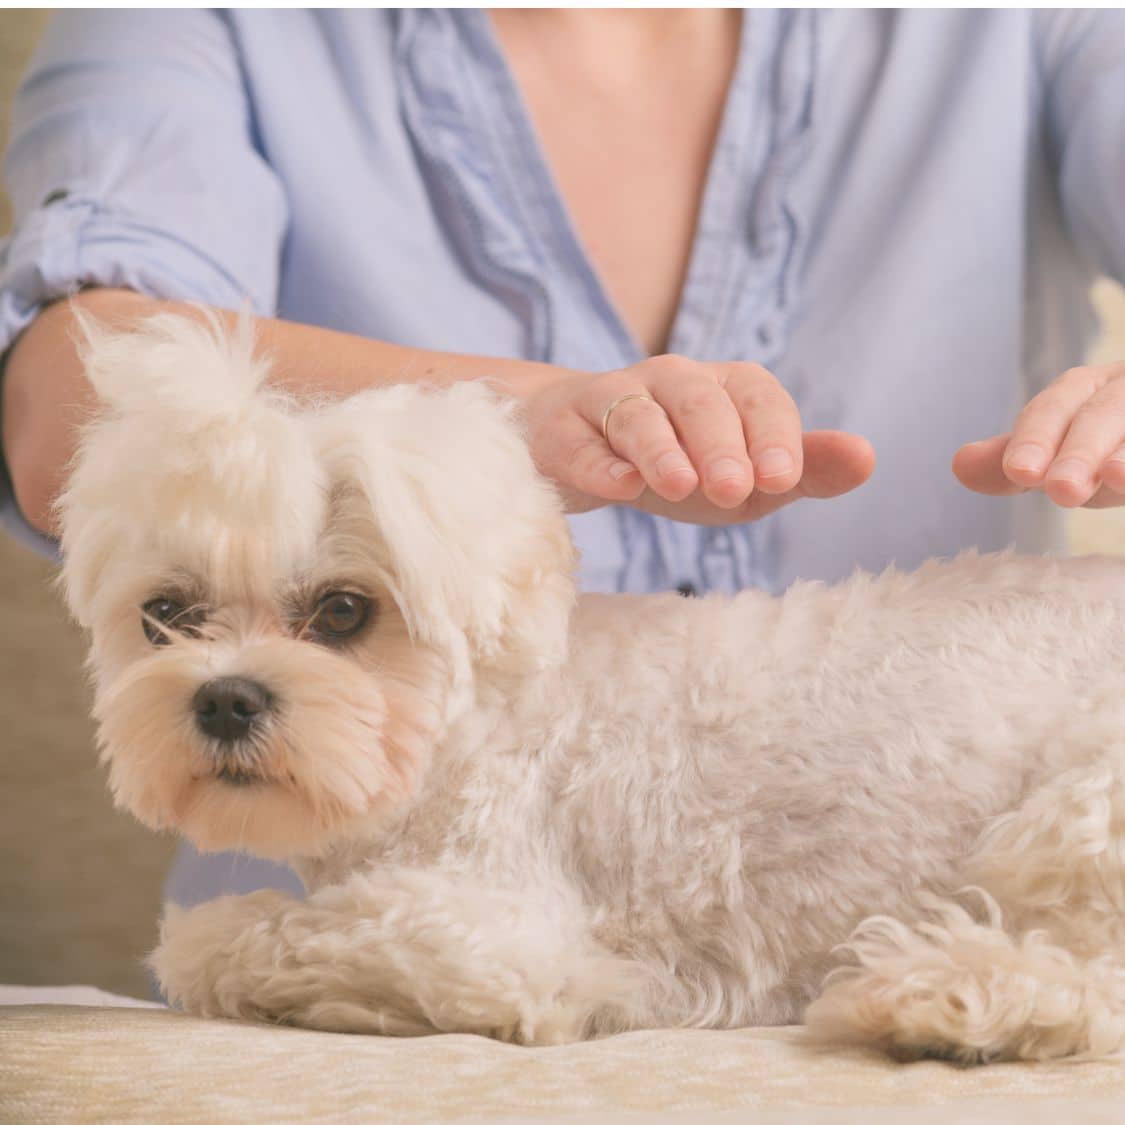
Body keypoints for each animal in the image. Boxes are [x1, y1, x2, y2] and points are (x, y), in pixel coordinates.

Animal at [57, 310, 1125, 1062]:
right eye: (166, 613)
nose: (224, 698)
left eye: (344, 611)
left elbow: (224, 938)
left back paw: (949, 995)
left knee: (1096, 985)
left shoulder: (489, 937)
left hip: (1071, 819)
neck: (478, 729)